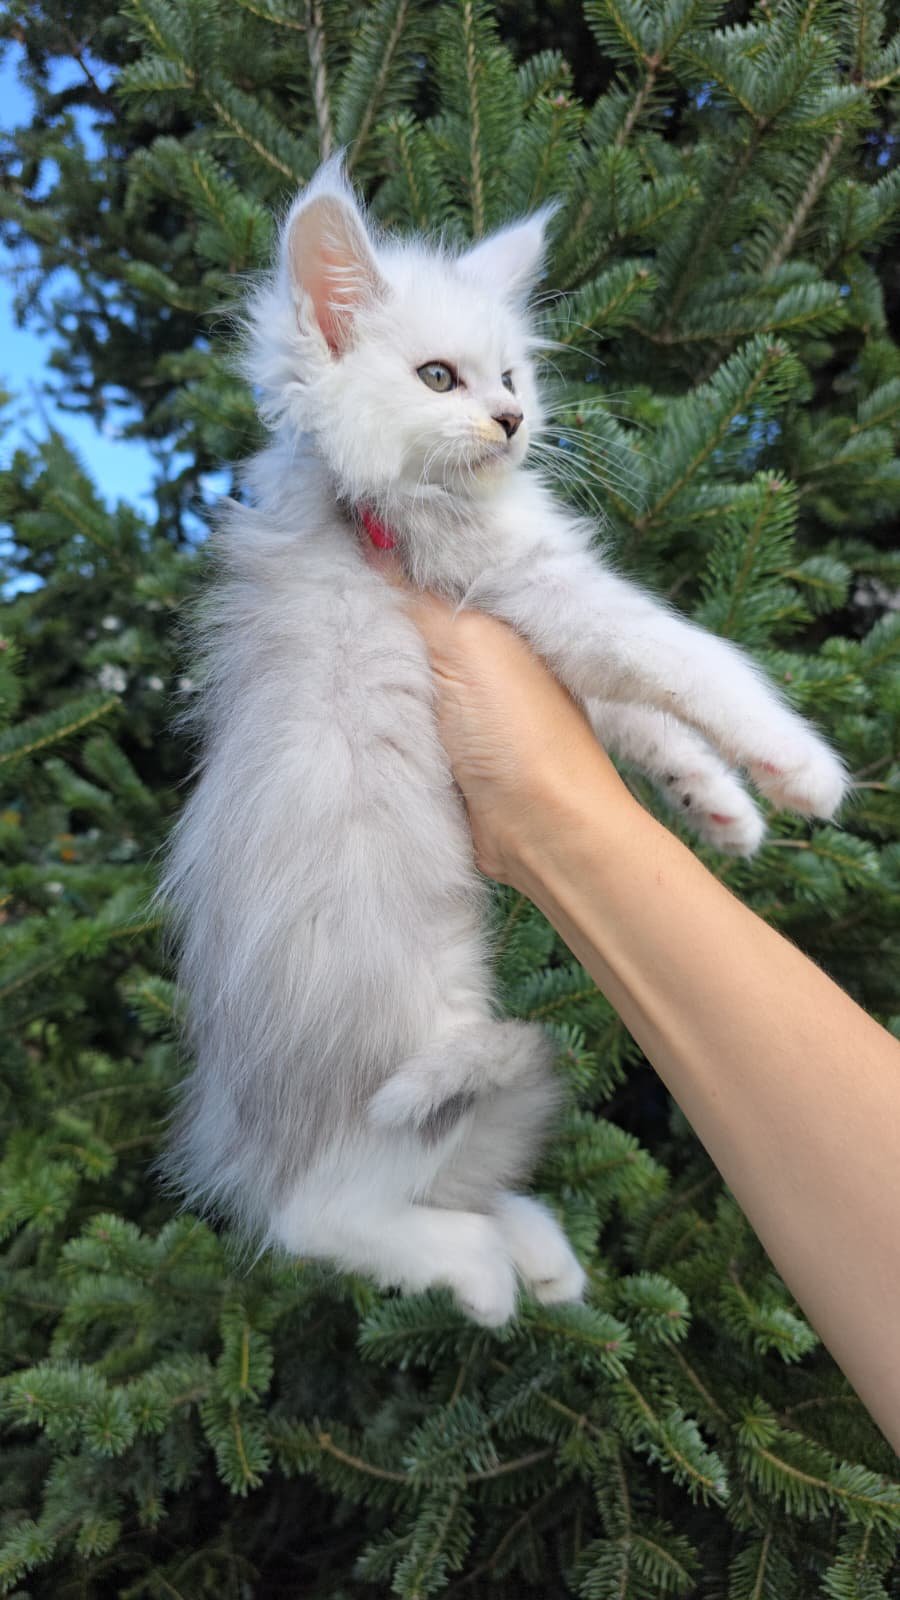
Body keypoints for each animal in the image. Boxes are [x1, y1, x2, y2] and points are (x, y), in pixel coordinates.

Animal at [160, 158, 848, 1326]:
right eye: (440, 378)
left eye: (515, 374)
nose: (515, 419)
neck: (373, 497)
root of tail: (244, 1140)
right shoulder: (524, 587)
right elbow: (682, 654)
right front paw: (796, 763)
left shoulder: (525, 632)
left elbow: (633, 715)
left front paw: (720, 806)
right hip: (393, 1084)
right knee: (317, 1222)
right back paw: (483, 1274)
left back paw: (538, 1258)